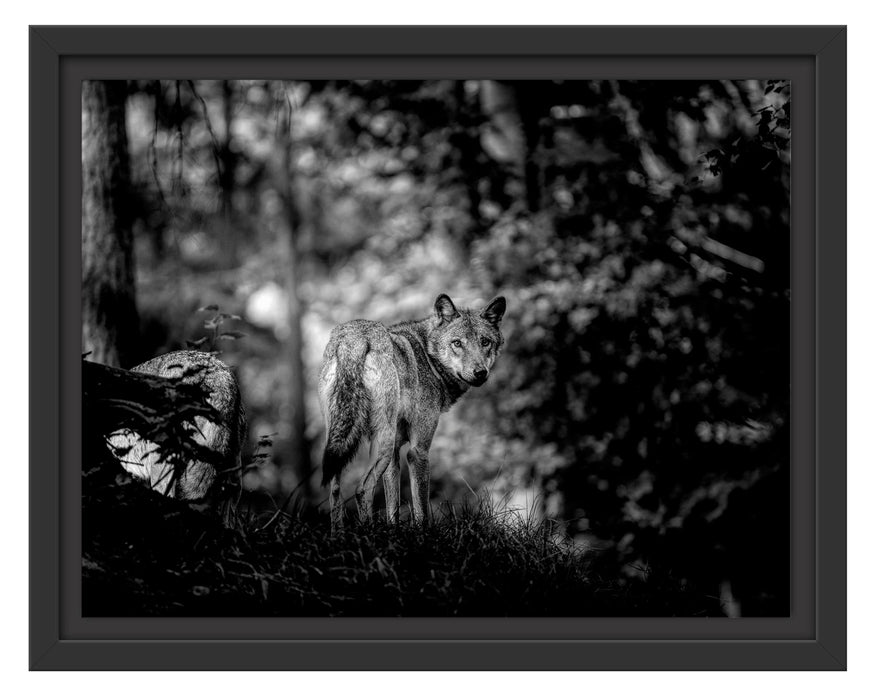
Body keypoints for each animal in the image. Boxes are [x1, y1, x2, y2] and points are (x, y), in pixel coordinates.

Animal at [318, 293, 506, 529]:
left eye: (485, 342)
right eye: (457, 343)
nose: (480, 372)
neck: (428, 357)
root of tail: (355, 337)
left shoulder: (395, 454)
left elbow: (393, 507)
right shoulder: (418, 451)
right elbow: (421, 509)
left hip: (343, 443)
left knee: (335, 491)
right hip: (383, 443)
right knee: (362, 489)